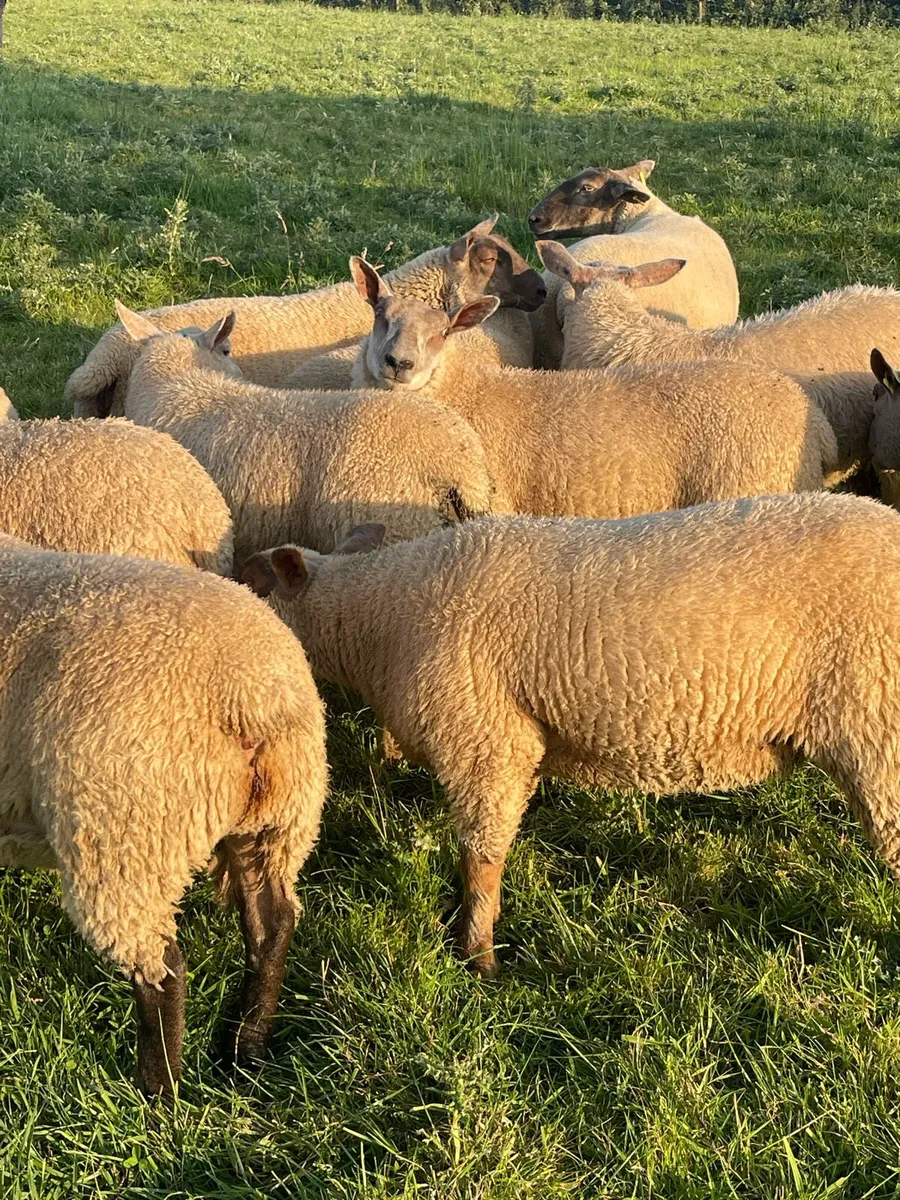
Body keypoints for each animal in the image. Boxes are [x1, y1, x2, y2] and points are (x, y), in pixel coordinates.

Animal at [0, 538, 327, 1094]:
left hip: (128, 833)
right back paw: (245, 1051)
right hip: (278, 819)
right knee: (272, 925)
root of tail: (253, 694)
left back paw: (156, 1093)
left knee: (164, 973)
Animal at [243, 491, 900, 976]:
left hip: (879, 727)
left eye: (255, 587)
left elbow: (481, 859)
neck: (378, 620)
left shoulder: (485, 740)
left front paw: (478, 958)